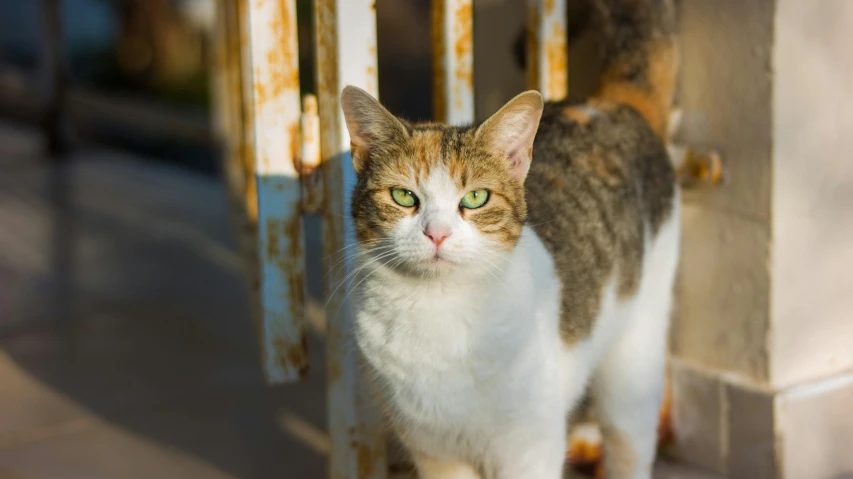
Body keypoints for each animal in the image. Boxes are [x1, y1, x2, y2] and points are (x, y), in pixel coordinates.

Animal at [340, 0, 680, 479]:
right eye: (404, 196)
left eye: (475, 198)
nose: (437, 233)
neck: (439, 316)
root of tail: (608, 103)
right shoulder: (435, 453)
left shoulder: (529, 449)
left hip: (634, 359)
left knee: (629, 441)